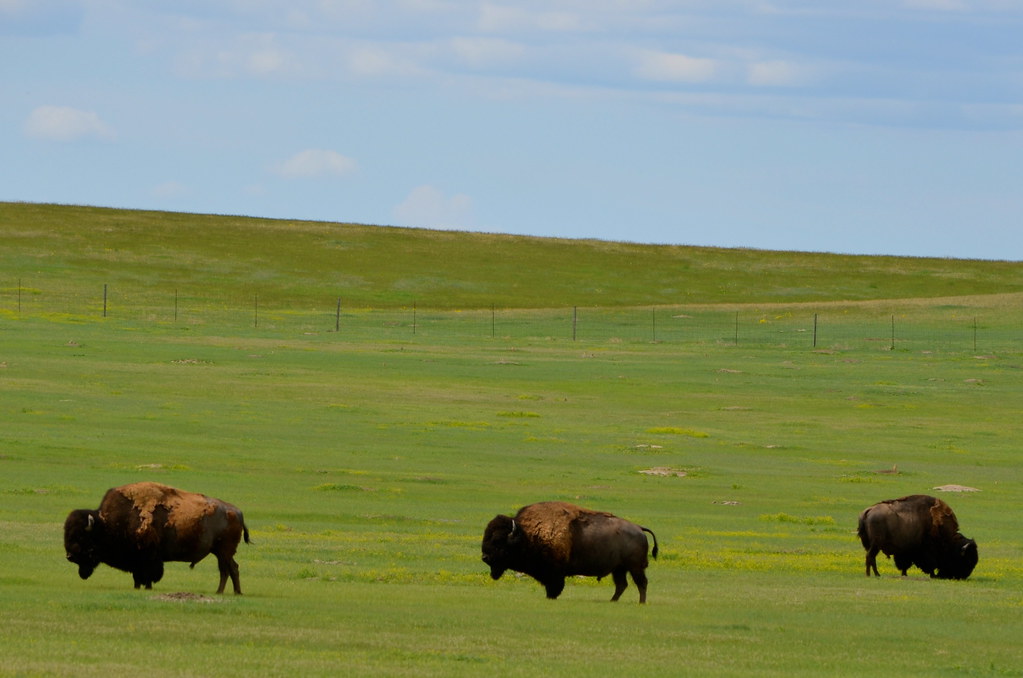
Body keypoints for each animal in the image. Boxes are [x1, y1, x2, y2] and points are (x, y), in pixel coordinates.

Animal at [64, 481, 250, 593]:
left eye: (81, 537)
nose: (70, 556)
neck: (107, 524)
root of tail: (237, 512)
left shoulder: (148, 558)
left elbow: (147, 575)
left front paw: (146, 587)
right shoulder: (137, 561)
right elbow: (137, 576)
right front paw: (137, 587)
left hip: (224, 551)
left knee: (228, 569)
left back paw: (227, 592)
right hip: (220, 552)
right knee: (230, 569)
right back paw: (230, 592)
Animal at [481, 501, 658, 602]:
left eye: (498, 541)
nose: (485, 557)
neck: (526, 534)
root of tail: (639, 528)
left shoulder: (554, 575)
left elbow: (553, 588)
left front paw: (551, 598)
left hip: (635, 567)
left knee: (641, 583)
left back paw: (641, 603)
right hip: (619, 569)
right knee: (622, 585)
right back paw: (612, 601)